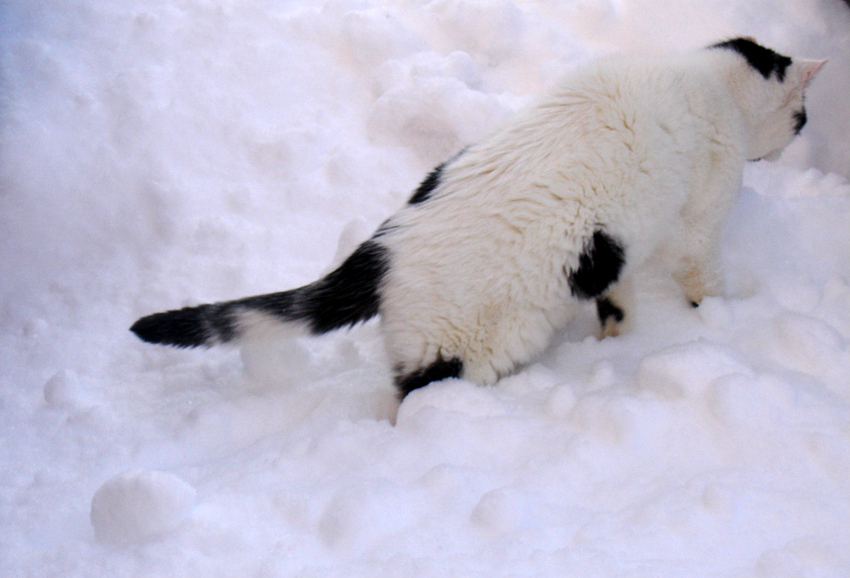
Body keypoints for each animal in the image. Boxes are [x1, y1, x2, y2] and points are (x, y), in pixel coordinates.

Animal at [131, 36, 820, 396]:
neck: (709, 77)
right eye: (803, 116)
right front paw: (719, 315)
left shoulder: (618, 251)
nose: (799, 136)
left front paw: (616, 335)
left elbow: (617, 299)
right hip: (464, 352)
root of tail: (383, 249)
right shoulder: (701, 221)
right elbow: (705, 279)